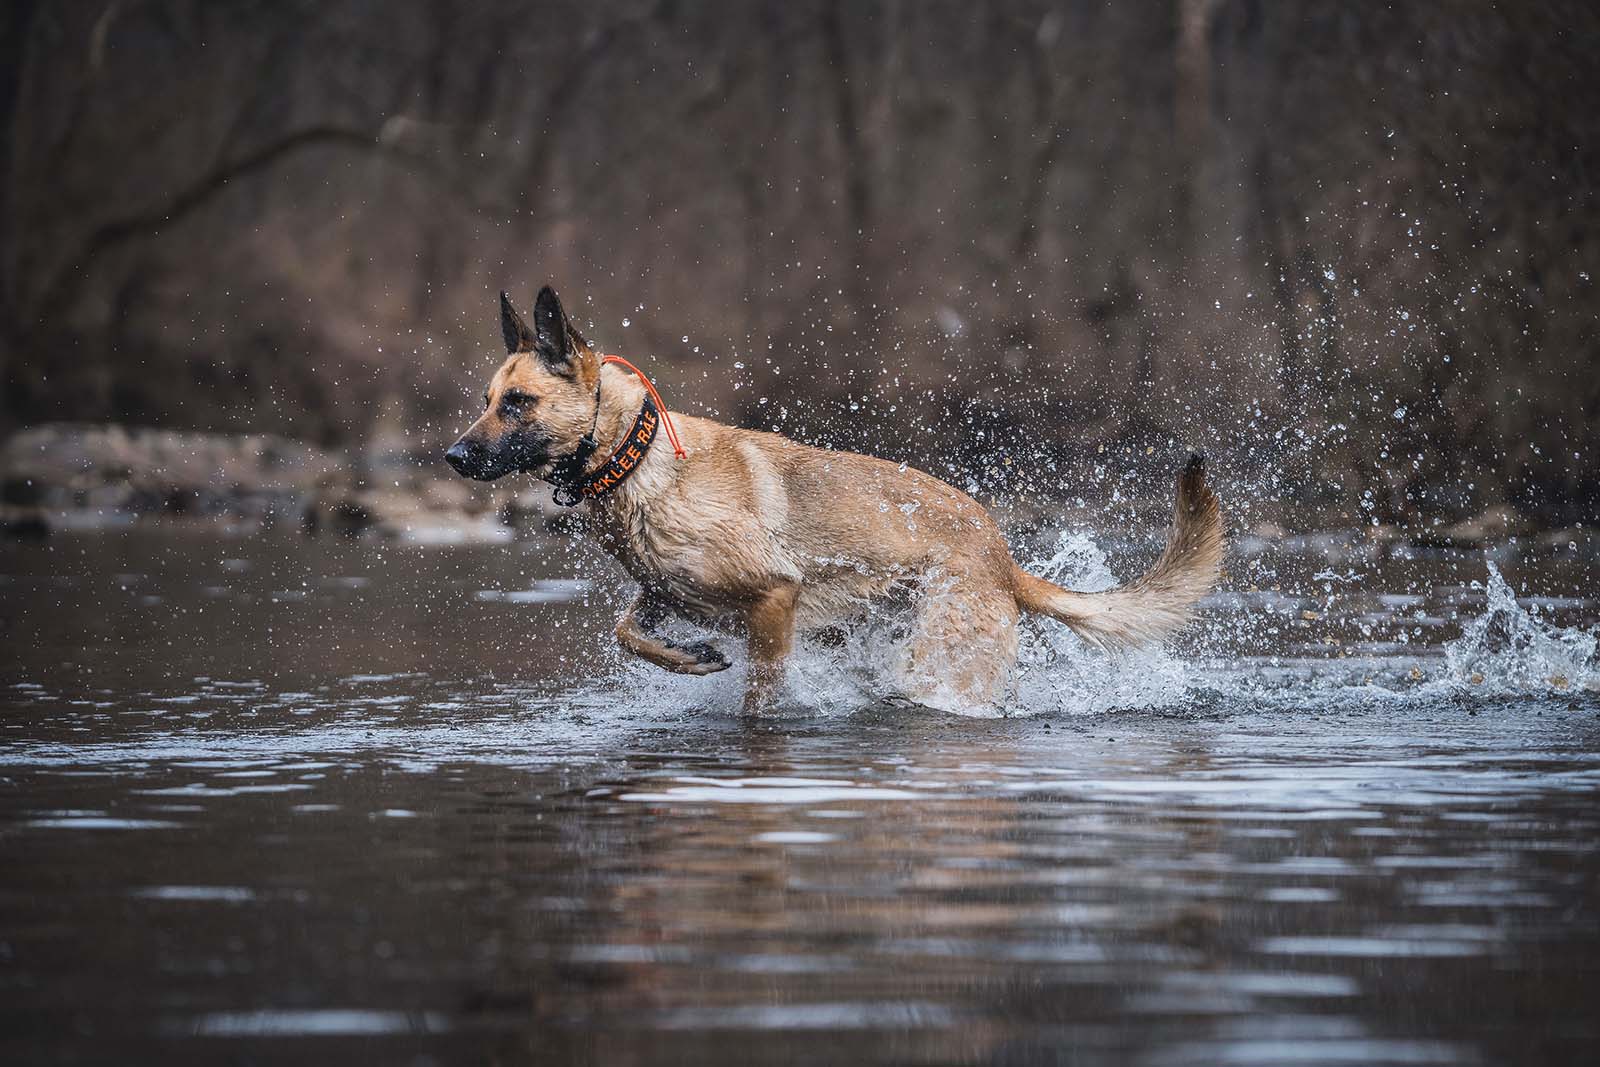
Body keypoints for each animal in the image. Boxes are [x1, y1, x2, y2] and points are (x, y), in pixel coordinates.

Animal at [444, 287, 1216, 713]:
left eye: (517, 404)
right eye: (486, 399)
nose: (453, 456)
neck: (634, 460)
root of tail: (1000, 556)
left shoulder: (774, 598)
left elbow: (759, 699)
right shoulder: (667, 594)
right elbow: (627, 630)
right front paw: (691, 658)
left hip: (939, 660)